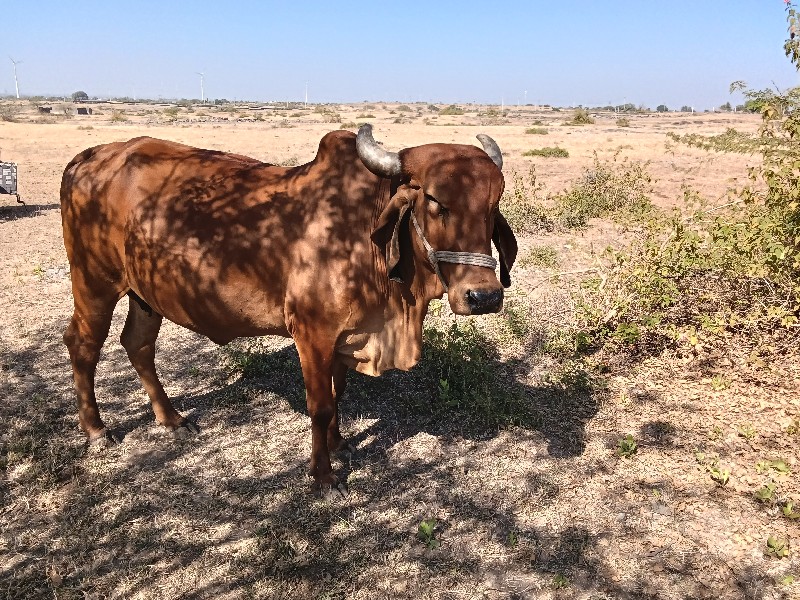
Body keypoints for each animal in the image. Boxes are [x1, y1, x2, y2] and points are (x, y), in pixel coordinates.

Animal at [59, 124, 516, 494]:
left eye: (494, 203)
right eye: (436, 200)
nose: (484, 296)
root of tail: (91, 155)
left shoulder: (344, 338)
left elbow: (338, 392)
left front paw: (339, 444)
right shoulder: (311, 334)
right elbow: (320, 405)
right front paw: (324, 475)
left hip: (144, 293)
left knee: (137, 344)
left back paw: (171, 418)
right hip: (94, 282)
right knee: (82, 344)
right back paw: (97, 429)